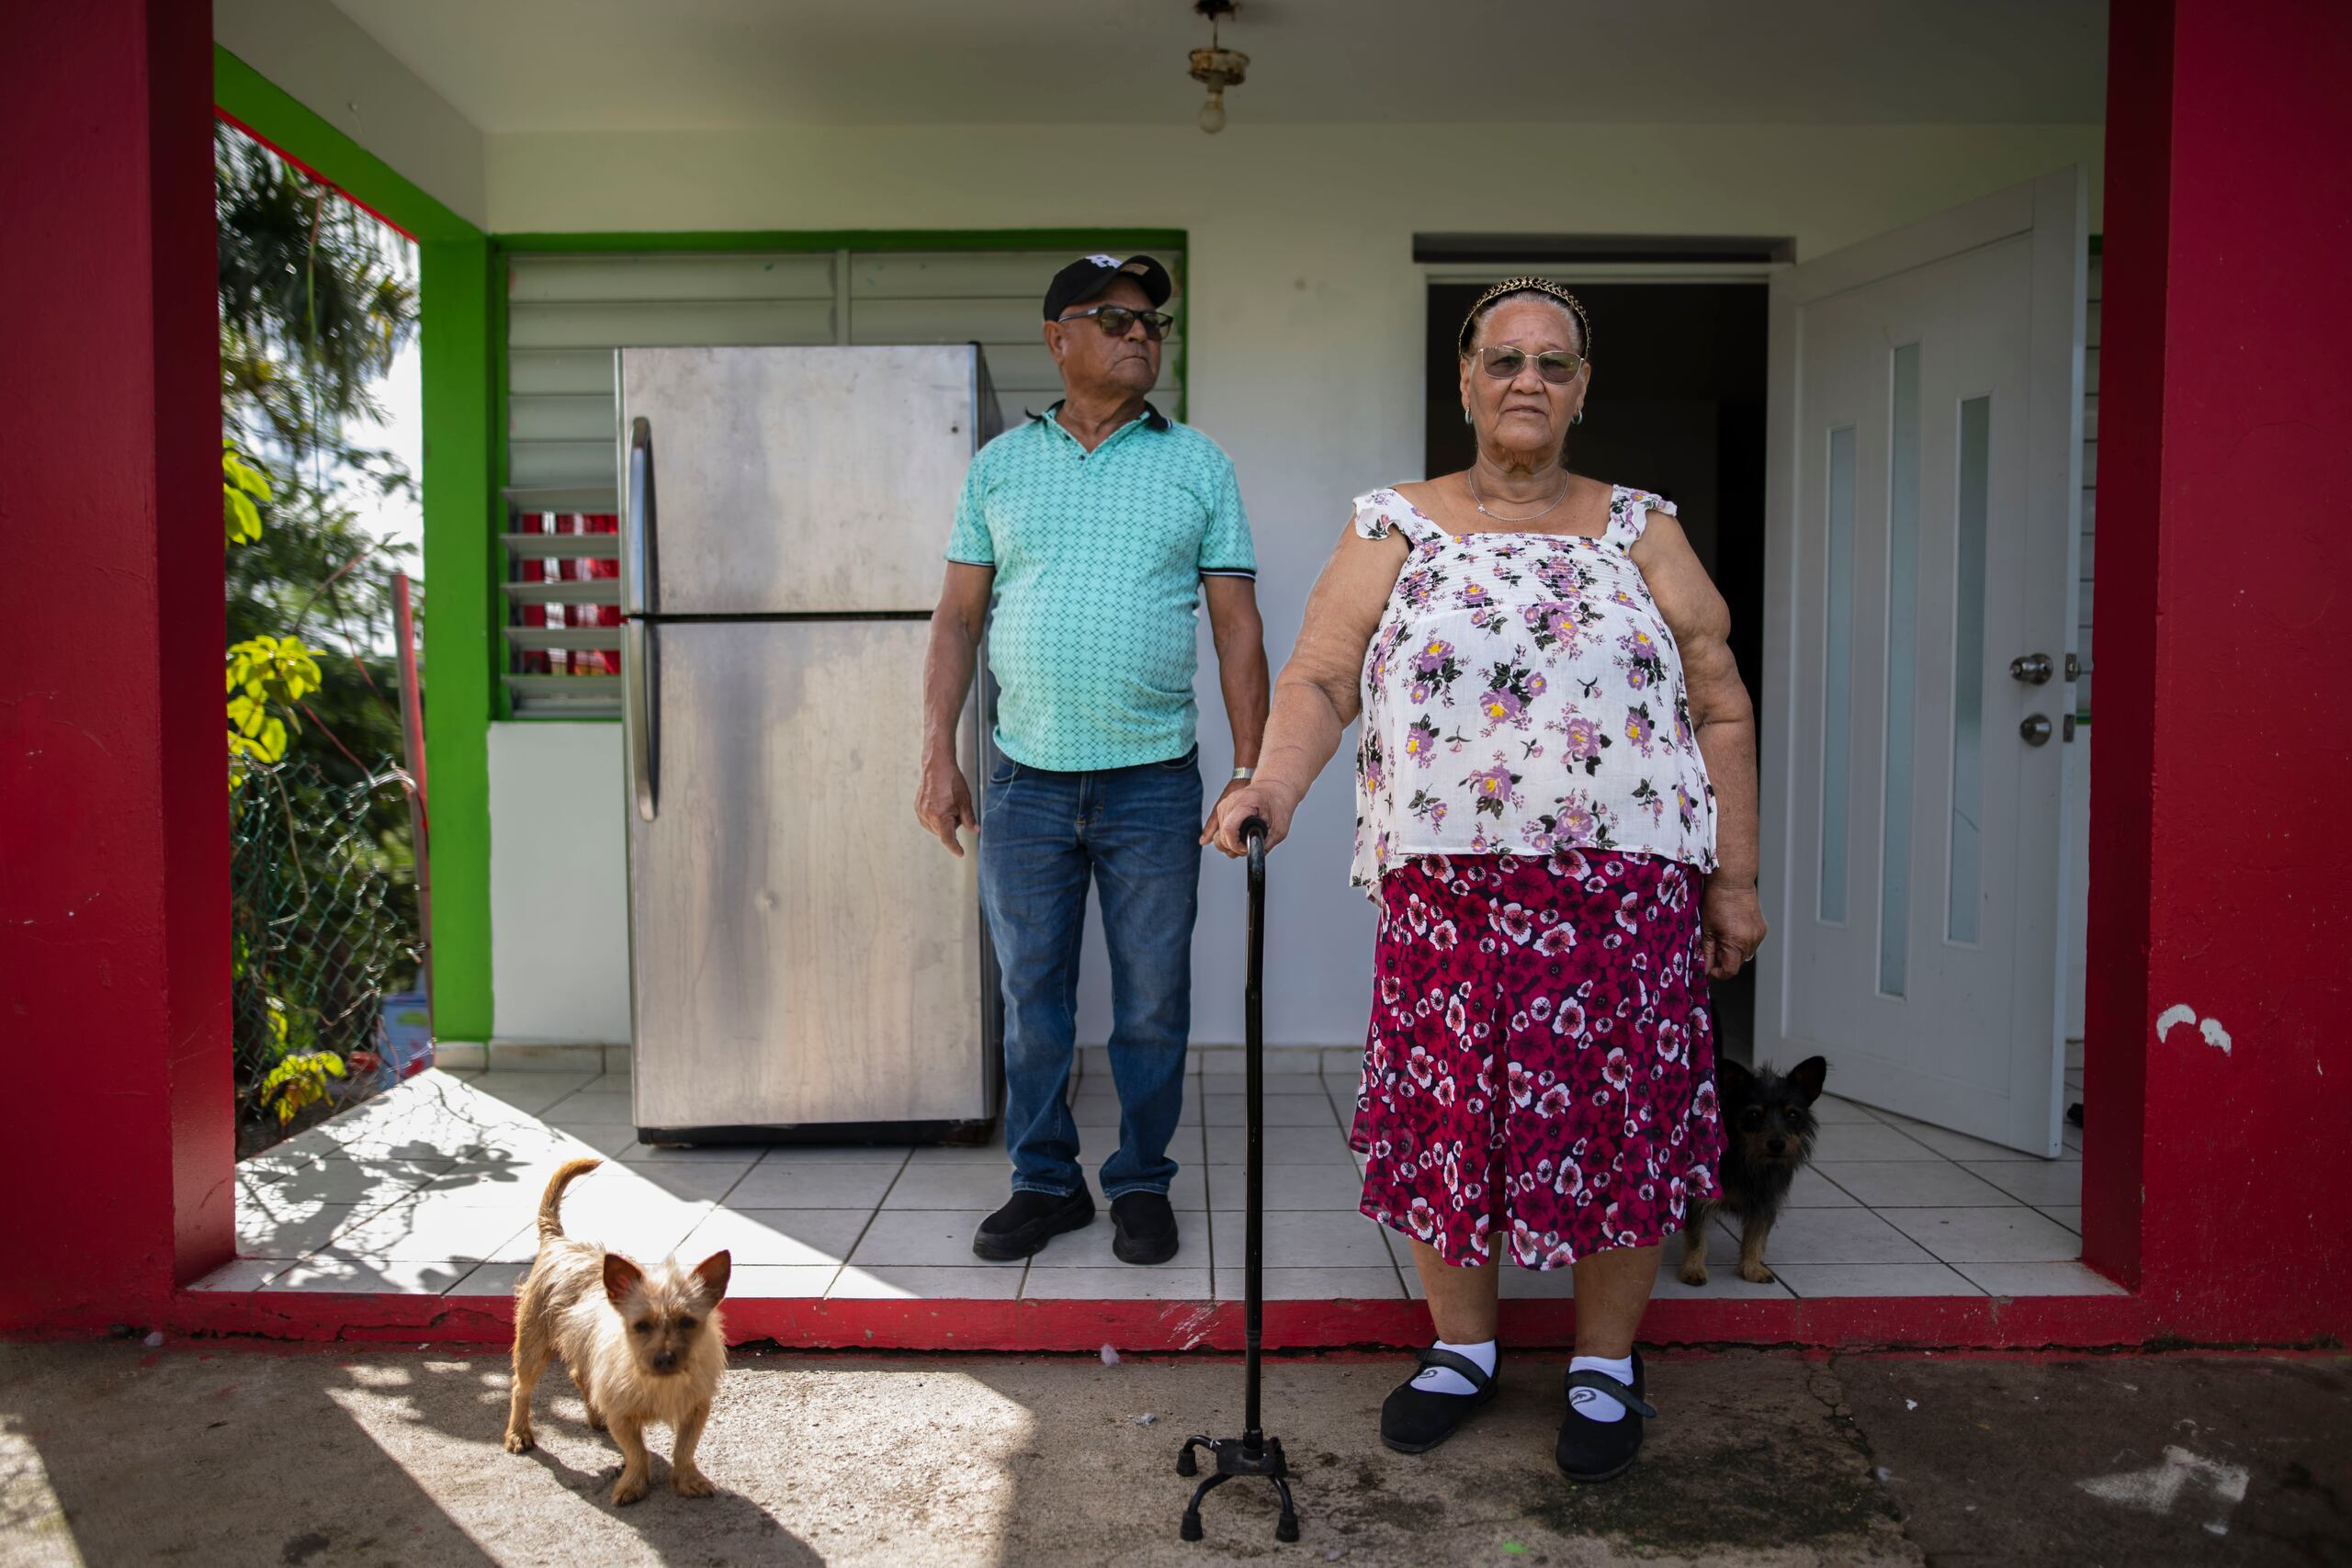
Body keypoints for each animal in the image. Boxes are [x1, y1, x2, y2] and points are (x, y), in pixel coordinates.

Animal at [507, 1152, 729, 1504]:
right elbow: (637, 1452)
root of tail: (559, 1241)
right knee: (520, 1388)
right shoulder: (623, 1418)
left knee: (579, 1375)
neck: (658, 1382)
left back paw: (594, 1415)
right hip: (532, 1346)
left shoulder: (696, 1409)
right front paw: (633, 1484)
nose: (665, 1359)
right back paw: (519, 1432)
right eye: (641, 1325)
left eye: (687, 1322)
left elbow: (685, 1449)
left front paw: (688, 1479)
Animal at [1683, 1053, 1825, 1288]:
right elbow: (1696, 1237)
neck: (1747, 1161)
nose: (1777, 1145)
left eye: (1793, 1115)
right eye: (1753, 1114)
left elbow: (1755, 1238)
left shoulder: (1765, 1202)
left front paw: (1751, 1268)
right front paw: (1693, 1269)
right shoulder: (1697, 1195)